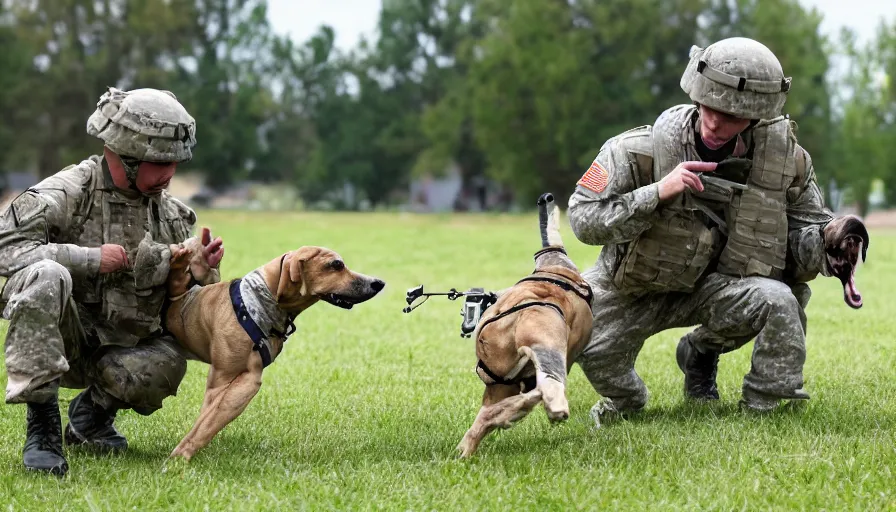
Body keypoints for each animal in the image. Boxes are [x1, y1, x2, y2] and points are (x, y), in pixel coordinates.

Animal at [456, 194, 596, 458]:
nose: (546, 199)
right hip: (547, 346)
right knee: (550, 387)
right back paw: (550, 406)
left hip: (499, 384)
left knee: (490, 413)